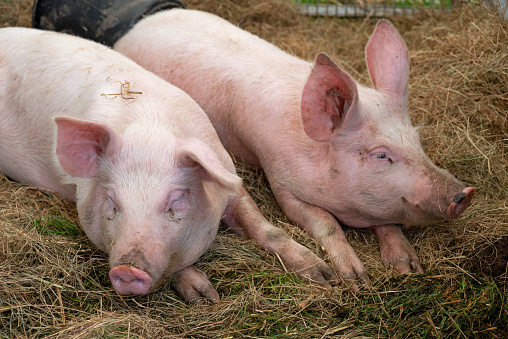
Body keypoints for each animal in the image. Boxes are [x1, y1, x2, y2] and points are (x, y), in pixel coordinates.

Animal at [0, 25, 338, 302]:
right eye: (112, 201)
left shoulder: (229, 176)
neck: (149, 129)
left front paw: (325, 276)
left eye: (175, 200)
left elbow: (265, 228)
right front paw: (206, 297)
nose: (127, 270)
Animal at [114, 9, 476, 290]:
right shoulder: (281, 183)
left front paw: (408, 267)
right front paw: (353, 279)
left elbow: (387, 221)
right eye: (381, 154)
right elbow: (324, 222)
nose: (464, 193)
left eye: (417, 139)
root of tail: (140, 25)